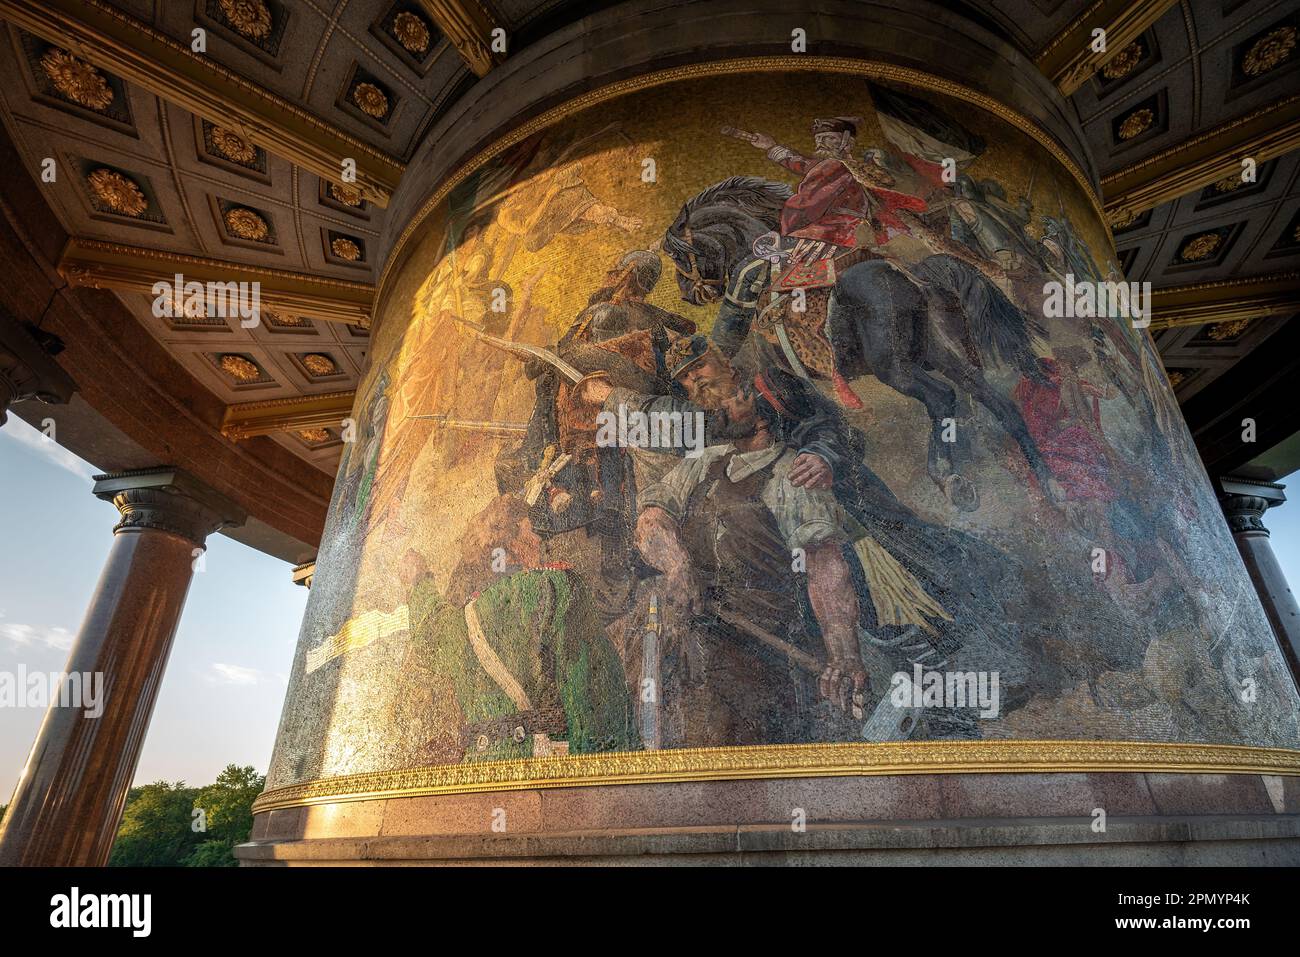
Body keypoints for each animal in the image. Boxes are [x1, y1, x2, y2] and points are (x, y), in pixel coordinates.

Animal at [660, 176, 1055, 512]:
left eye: (679, 255)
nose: (688, 294)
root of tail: (909, 275)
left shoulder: (767, 341)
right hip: (942, 354)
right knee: (1002, 406)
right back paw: (1052, 489)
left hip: (893, 367)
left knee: (943, 397)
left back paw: (950, 479)